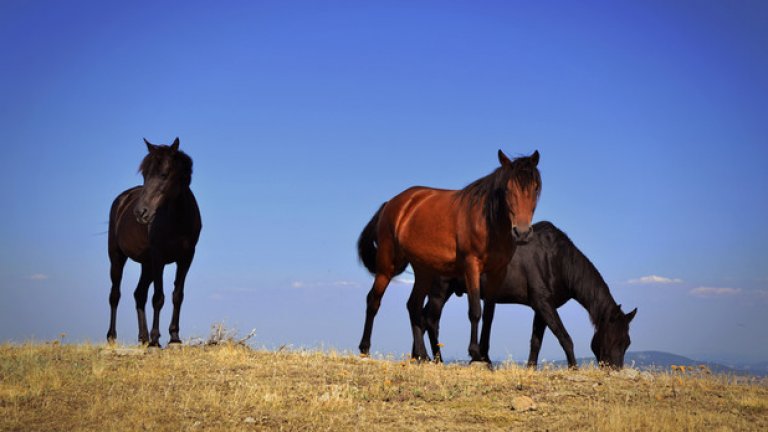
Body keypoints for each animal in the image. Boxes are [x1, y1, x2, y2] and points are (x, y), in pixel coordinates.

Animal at [106, 138, 201, 348]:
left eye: (164, 174)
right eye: (144, 174)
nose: (140, 212)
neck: (178, 219)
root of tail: (121, 200)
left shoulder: (186, 258)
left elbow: (177, 295)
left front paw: (174, 338)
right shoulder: (159, 257)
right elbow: (158, 297)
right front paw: (156, 339)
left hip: (146, 264)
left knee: (139, 294)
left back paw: (143, 337)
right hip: (117, 257)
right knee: (115, 295)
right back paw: (112, 337)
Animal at [358, 150, 540, 360]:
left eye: (535, 188)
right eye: (507, 189)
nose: (522, 232)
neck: (488, 222)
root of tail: (392, 204)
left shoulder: (498, 272)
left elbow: (489, 314)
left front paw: (486, 357)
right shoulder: (471, 266)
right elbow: (475, 310)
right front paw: (474, 353)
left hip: (424, 271)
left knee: (413, 306)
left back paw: (422, 356)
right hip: (387, 265)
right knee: (373, 300)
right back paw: (365, 349)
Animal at [426, 223, 636, 368]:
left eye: (627, 343)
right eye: (613, 338)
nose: (615, 369)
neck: (557, 259)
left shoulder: (542, 307)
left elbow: (536, 341)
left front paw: (530, 368)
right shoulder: (543, 304)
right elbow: (564, 337)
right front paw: (573, 367)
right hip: (440, 290)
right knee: (429, 319)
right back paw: (435, 360)